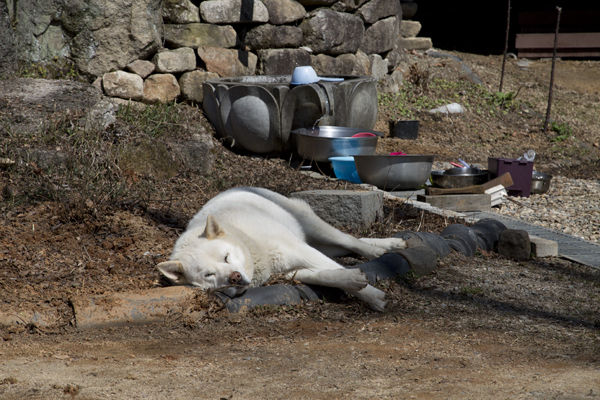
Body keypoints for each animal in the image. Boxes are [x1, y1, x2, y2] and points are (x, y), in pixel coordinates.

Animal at [156, 186, 408, 310]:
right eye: (209, 275)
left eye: (226, 257)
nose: (234, 277)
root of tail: (235, 188)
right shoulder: (291, 271)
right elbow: (328, 275)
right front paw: (353, 281)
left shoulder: (300, 250)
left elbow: (335, 268)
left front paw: (373, 297)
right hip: (315, 240)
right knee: (344, 246)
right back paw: (388, 245)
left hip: (311, 225)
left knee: (349, 240)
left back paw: (378, 250)